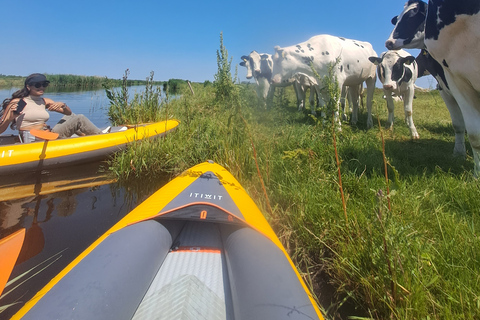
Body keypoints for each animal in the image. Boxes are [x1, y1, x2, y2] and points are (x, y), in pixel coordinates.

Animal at [386, 0, 480, 175]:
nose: (389, 42)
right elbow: (463, 126)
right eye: (398, 19)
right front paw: (459, 154)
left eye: (412, 16)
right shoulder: (450, 87)